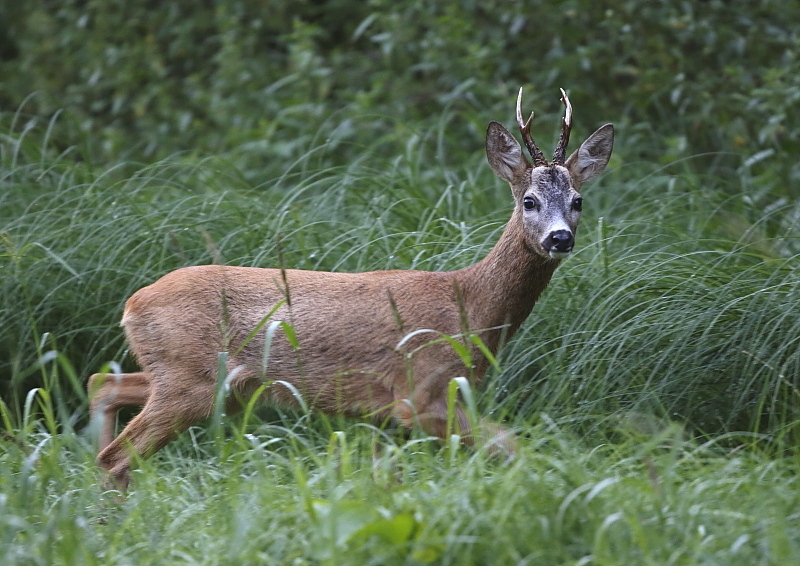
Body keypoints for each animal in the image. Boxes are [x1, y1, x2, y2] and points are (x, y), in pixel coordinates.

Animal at [87, 87, 612, 488]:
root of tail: (132, 304)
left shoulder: (401, 408)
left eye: (578, 200)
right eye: (529, 200)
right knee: (116, 455)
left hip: (192, 379)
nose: (559, 238)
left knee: (102, 387)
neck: (469, 305)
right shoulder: (418, 392)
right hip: (189, 378)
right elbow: (511, 446)